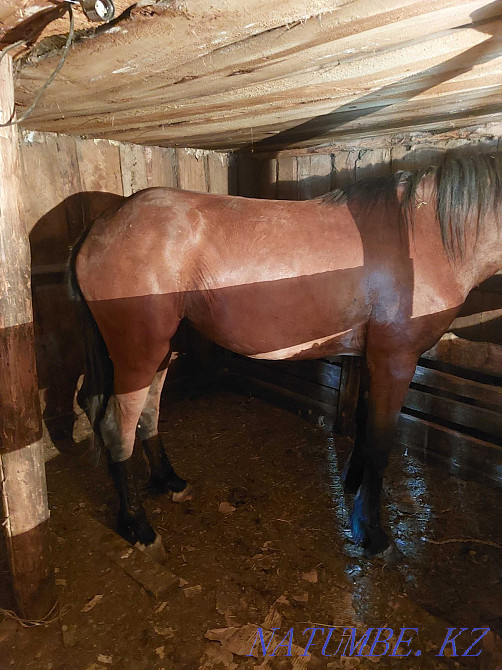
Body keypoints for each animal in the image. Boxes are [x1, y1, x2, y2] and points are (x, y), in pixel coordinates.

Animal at [68, 152, 502, 558]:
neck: (425, 235)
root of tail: (98, 228)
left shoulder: (370, 357)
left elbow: (365, 426)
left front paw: (353, 487)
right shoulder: (396, 360)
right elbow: (380, 444)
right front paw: (373, 533)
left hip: (157, 352)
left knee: (148, 413)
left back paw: (168, 481)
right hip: (138, 354)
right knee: (116, 427)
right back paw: (137, 526)